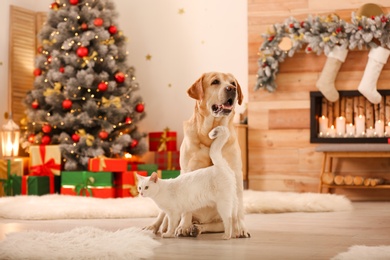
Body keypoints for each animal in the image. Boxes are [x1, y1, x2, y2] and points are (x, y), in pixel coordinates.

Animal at [144, 71, 250, 238]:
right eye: (215, 82)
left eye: (233, 83)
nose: (232, 89)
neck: (209, 137)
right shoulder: (188, 170)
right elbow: (184, 209)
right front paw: (183, 227)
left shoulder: (237, 173)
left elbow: (238, 208)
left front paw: (241, 229)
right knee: (162, 216)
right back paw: (156, 227)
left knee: (216, 223)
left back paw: (198, 228)